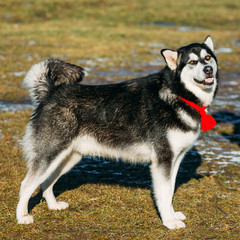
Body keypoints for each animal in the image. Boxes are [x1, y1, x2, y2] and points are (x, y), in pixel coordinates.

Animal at [16, 35, 218, 229]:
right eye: (192, 62)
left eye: (207, 58)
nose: (208, 69)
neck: (178, 94)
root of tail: (51, 92)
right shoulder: (163, 161)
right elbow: (164, 193)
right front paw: (169, 221)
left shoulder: (175, 159)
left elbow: (169, 192)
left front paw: (173, 215)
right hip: (50, 155)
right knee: (26, 185)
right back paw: (22, 217)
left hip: (67, 158)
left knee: (47, 182)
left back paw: (53, 206)